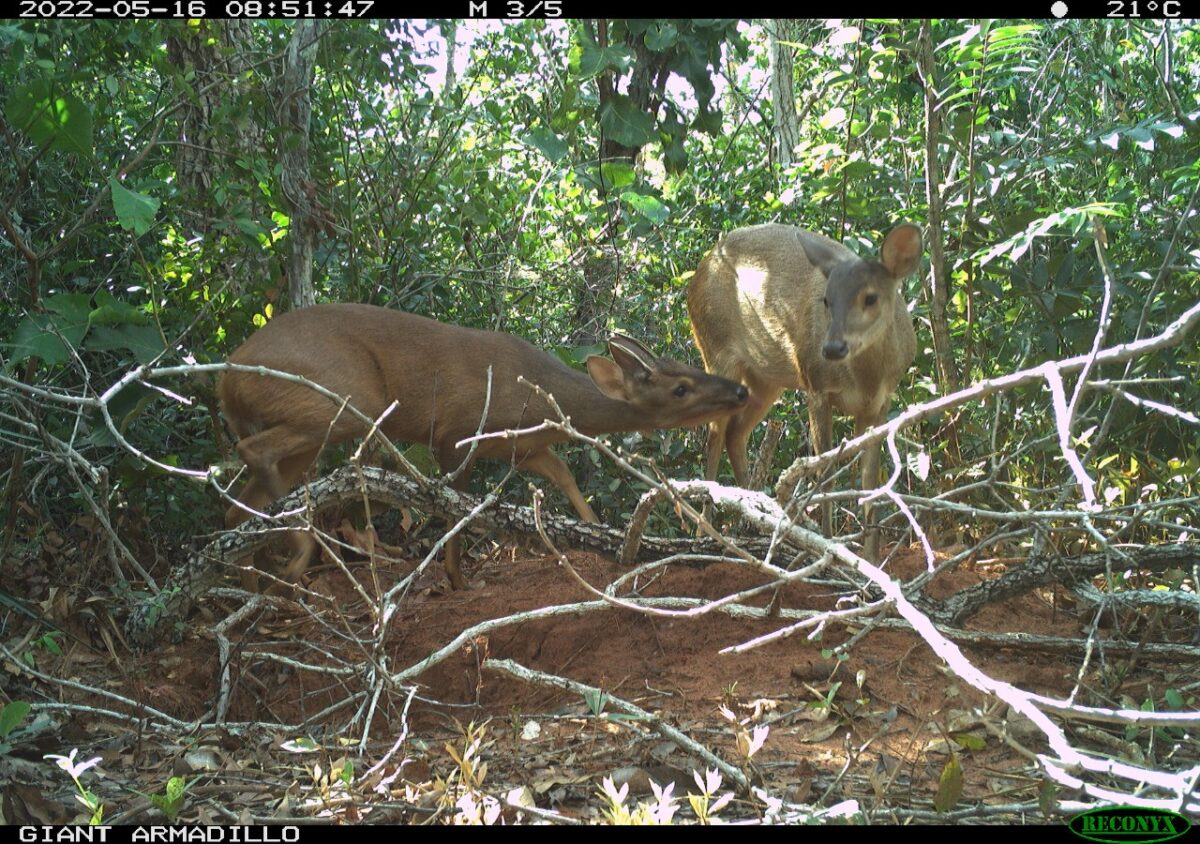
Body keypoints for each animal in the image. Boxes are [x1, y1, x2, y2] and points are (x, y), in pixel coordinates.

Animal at [219, 302, 744, 588]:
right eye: (680, 389)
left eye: (688, 366)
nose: (739, 391)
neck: (536, 389)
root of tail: (227, 375)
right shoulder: (455, 433)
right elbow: (456, 507)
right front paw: (456, 579)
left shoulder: (527, 446)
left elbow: (564, 476)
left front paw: (605, 538)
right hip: (344, 399)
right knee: (253, 455)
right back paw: (297, 550)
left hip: (308, 427)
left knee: (239, 500)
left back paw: (257, 574)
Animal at [686, 223, 916, 561]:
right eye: (827, 300)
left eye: (871, 297)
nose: (831, 348)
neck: (866, 380)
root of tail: (699, 271)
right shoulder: (816, 385)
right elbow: (823, 470)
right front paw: (829, 547)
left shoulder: (879, 404)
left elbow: (870, 478)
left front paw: (871, 560)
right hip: (715, 348)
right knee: (714, 436)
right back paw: (705, 530)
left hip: (766, 378)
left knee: (735, 434)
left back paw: (756, 516)